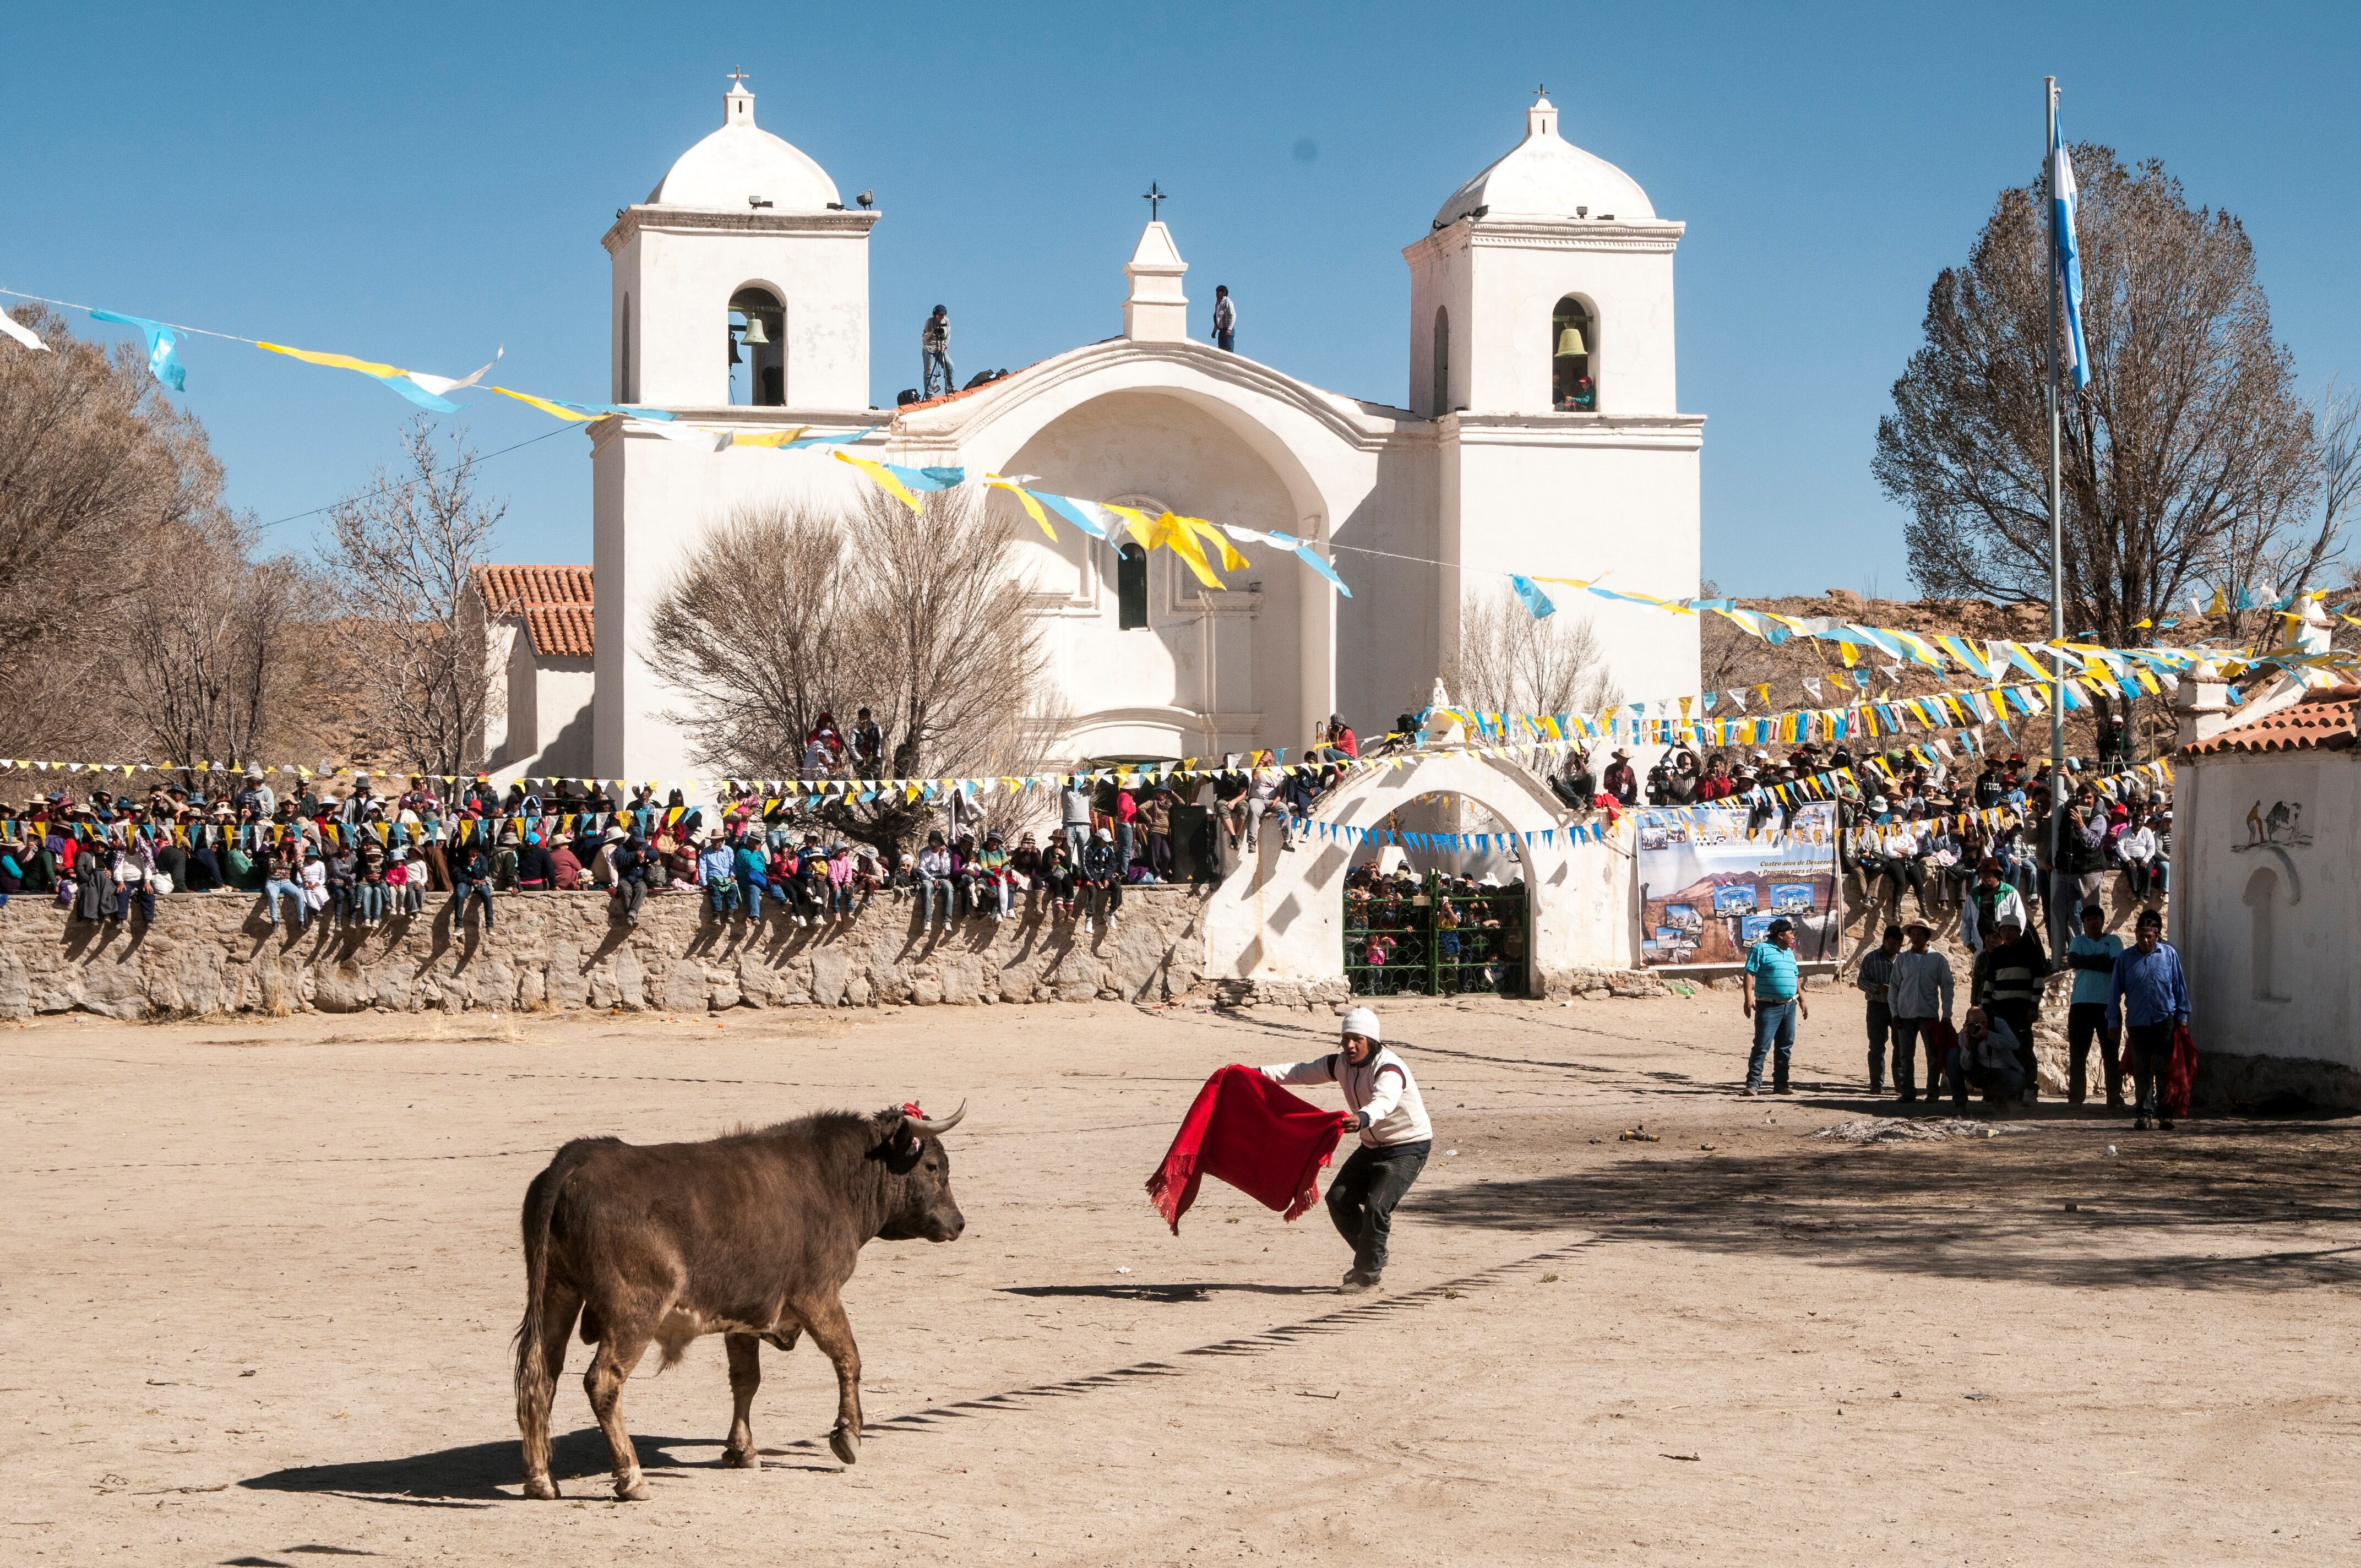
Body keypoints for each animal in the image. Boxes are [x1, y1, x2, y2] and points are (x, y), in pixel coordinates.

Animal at [512, 1096, 963, 1501]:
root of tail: (575, 1160)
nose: (958, 1223)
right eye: (932, 1167)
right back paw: (631, 1478)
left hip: (557, 1292)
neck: (832, 1180)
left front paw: (741, 1450)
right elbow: (848, 1357)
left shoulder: (746, 1313)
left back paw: (540, 1480)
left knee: (541, 1375)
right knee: (604, 1381)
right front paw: (848, 1434)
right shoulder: (818, 1296)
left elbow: (746, 1379)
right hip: (633, 1313)